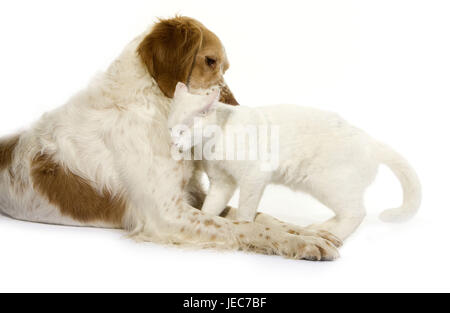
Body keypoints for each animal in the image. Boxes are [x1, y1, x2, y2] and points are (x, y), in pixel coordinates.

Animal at [0, 15, 340, 260]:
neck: (153, 103)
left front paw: (306, 231)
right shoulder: (166, 212)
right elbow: (243, 225)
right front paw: (299, 243)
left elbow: (260, 216)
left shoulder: (193, 196)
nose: (237, 110)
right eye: (210, 60)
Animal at [170, 82, 422, 239]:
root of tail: (371, 141)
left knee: (356, 213)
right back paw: (319, 229)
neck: (211, 143)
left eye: (183, 131)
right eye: (171, 128)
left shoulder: (254, 177)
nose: (173, 142)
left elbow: (245, 212)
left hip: (329, 185)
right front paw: (205, 223)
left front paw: (245, 229)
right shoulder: (222, 182)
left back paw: (333, 236)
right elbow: (210, 208)